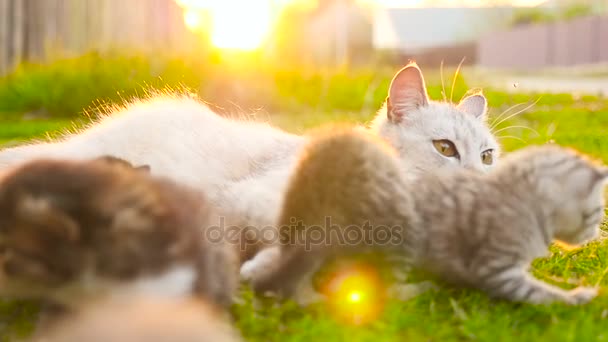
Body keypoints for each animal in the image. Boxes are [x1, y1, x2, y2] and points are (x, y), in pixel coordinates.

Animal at [251, 127, 604, 306]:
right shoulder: (496, 268)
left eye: (488, 156)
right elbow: (536, 292)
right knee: (379, 288)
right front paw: (578, 297)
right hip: (399, 235)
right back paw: (418, 290)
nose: (595, 232)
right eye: (597, 212)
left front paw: (571, 283)